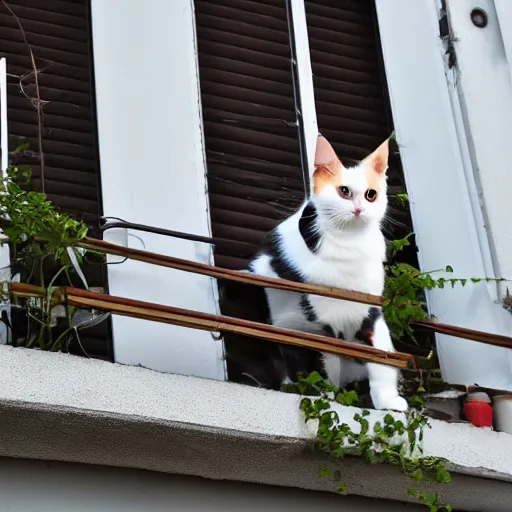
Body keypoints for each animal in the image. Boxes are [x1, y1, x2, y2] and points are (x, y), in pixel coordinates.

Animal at [242, 134, 406, 410]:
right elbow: (315, 366)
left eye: (371, 195)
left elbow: (381, 359)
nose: (359, 209)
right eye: (344, 191)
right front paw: (321, 395)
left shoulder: (371, 312)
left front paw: (389, 402)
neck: (350, 247)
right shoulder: (302, 321)